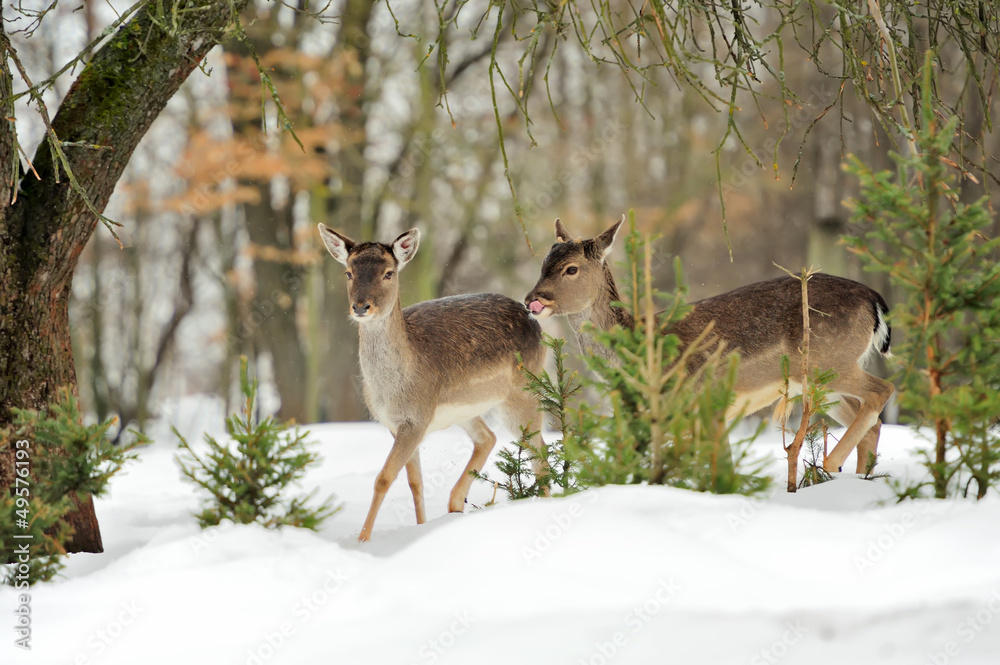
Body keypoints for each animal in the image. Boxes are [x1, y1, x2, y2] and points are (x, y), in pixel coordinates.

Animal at [318, 223, 548, 540]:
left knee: (540, 452)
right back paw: (455, 504)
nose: (361, 306)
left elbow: (383, 477)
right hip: (467, 410)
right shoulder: (396, 424)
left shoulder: (417, 417)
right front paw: (420, 528)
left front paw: (363, 539)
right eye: (348, 273)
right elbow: (415, 481)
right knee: (488, 438)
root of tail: (536, 324)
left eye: (389, 273)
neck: (393, 390)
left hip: (524, 394)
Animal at [528, 217, 896, 472]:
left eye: (571, 269)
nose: (533, 298)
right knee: (871, 421)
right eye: (543, 265)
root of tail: (874, 300)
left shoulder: (697, 399)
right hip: (820, 378)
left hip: (829, 360)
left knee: (882, 390)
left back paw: (831, 464)